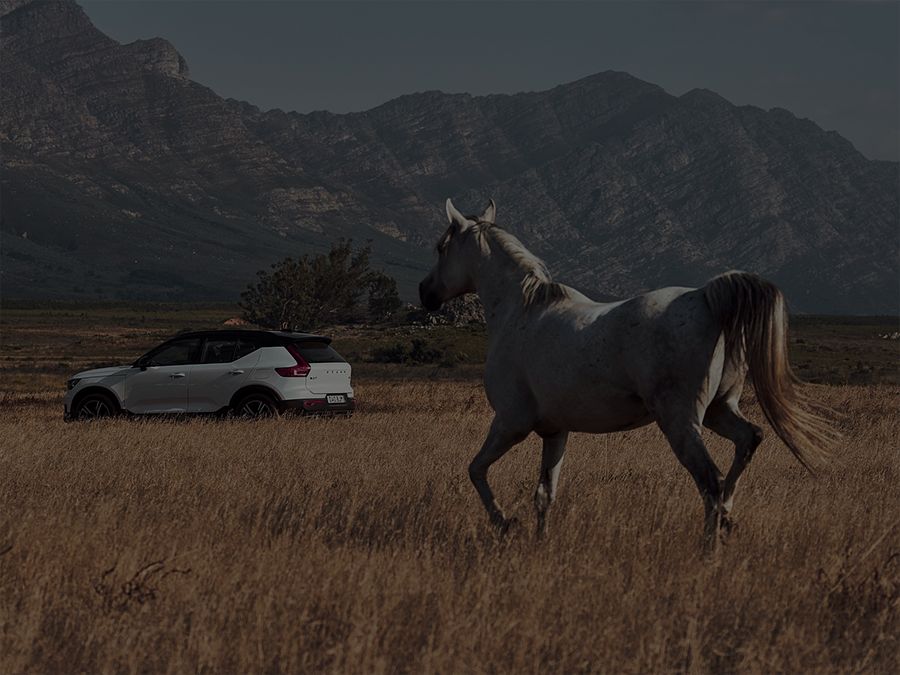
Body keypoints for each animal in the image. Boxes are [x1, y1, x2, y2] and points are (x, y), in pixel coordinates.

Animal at [419, 197, 837, 548]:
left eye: (441, 247)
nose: (425, 293)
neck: (521, 311)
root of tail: (706, 296)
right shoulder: (555, 431)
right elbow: (544, 494)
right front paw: (539, 541)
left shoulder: (510, 423)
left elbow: (476, 471)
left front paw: (505, 523)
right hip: (719, 409)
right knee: (748, 441)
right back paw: (728, 523)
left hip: (681, 422)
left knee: (710, 482)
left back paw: (710, 547)